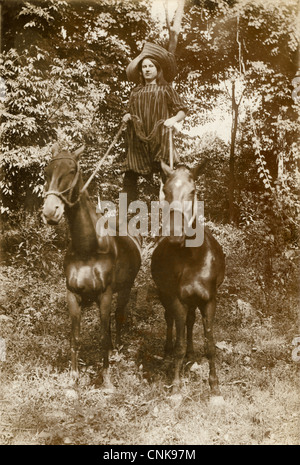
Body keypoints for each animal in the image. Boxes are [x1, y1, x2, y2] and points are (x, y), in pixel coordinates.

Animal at [41, 143, 142, 386]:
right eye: (47, 173)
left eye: (71, 171)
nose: (50, 212)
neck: (88, 248)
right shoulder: (73, 295)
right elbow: (75, 337)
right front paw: (73, 378)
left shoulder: (104, 295)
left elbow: (103, 335)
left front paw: (106, 378)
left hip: (125, 288)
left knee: (119, 316)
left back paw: (117, 350)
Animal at [150, 161, 225, 396]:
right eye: (165, 191)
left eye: (192, 192)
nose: (176, 234)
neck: (192, 257)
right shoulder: (176, 299)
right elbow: (179, 345)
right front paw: (176, 387)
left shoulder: (209, 300)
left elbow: (210, 345)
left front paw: (214, 387)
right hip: (166, 296)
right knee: (171, 321)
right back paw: (167, 352)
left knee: (190, 322)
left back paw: (191, 356)